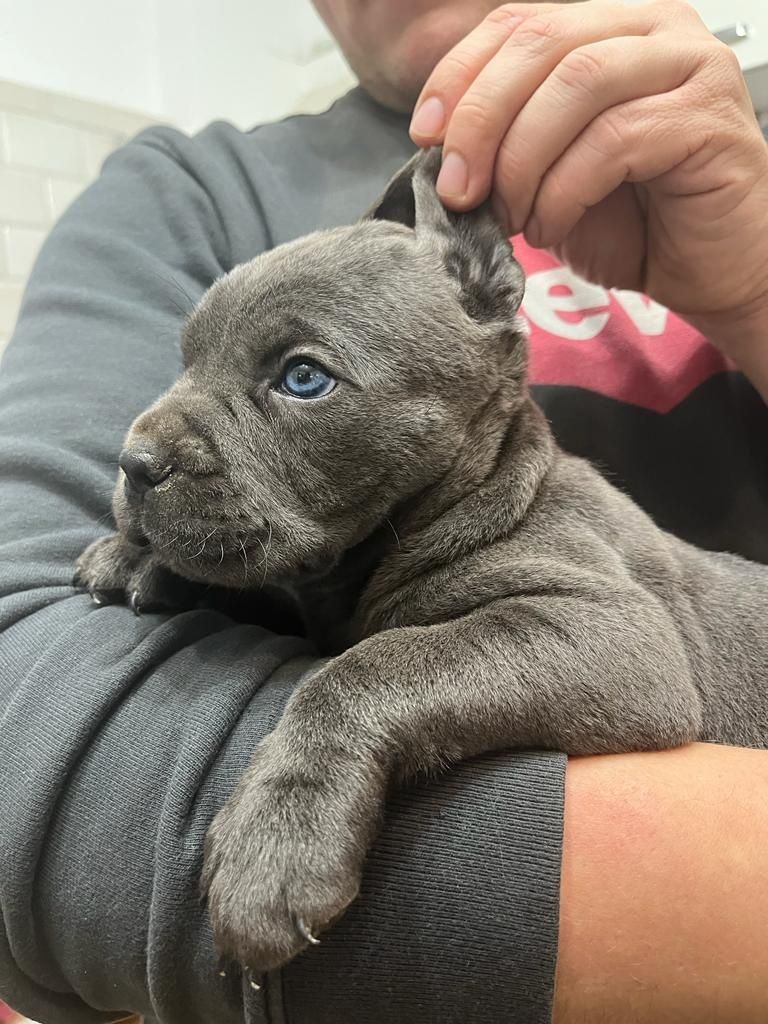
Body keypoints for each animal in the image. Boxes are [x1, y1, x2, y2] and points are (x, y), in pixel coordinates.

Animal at [75, 149, 768, 974]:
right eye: (184, 359)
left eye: (302, 378)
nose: (134, 462)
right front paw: (137, 560)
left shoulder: (613, 635)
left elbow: (371, 667)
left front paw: (277, 839)